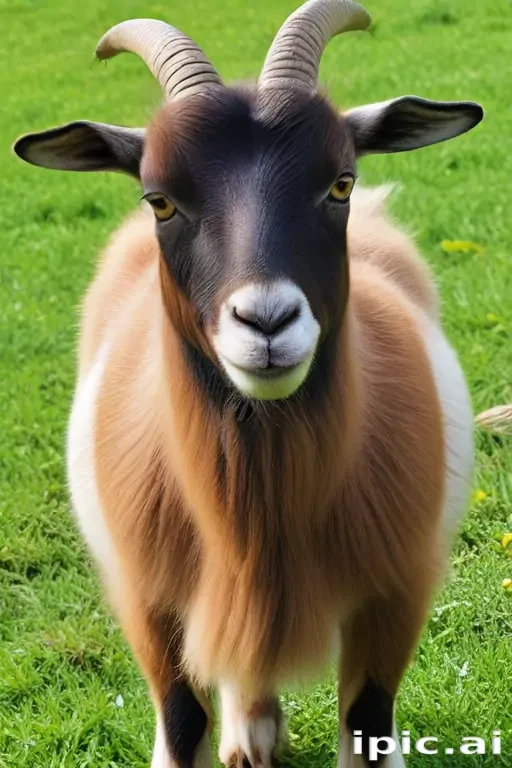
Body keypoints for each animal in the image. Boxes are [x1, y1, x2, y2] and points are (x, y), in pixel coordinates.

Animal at [14, 1, 483, 766]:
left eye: (340, 182)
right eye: (159, 199)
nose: (266, 321)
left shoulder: (395, 594)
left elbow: (370, 721)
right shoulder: (151, 604)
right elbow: (181, 722)